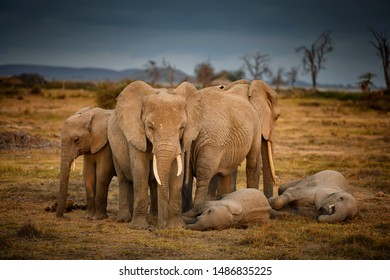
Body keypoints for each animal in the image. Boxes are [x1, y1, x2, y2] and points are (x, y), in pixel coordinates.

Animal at [108, 80, 203, 228]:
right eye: (150, 127)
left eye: (182, 127)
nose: (161, 226)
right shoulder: (136, 133)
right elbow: (140, 169)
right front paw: (139, 227)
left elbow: (177, 173)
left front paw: (176, 226)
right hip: (114, 149)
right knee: (124, 180)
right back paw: (124, 219)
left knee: (153, 182)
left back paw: (153, 216)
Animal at [183, 79, 280, 210]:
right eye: (277, 117)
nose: (277, 180)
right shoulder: (255, 124)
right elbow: (254, 163)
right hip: (212, 142)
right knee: (204, 176)